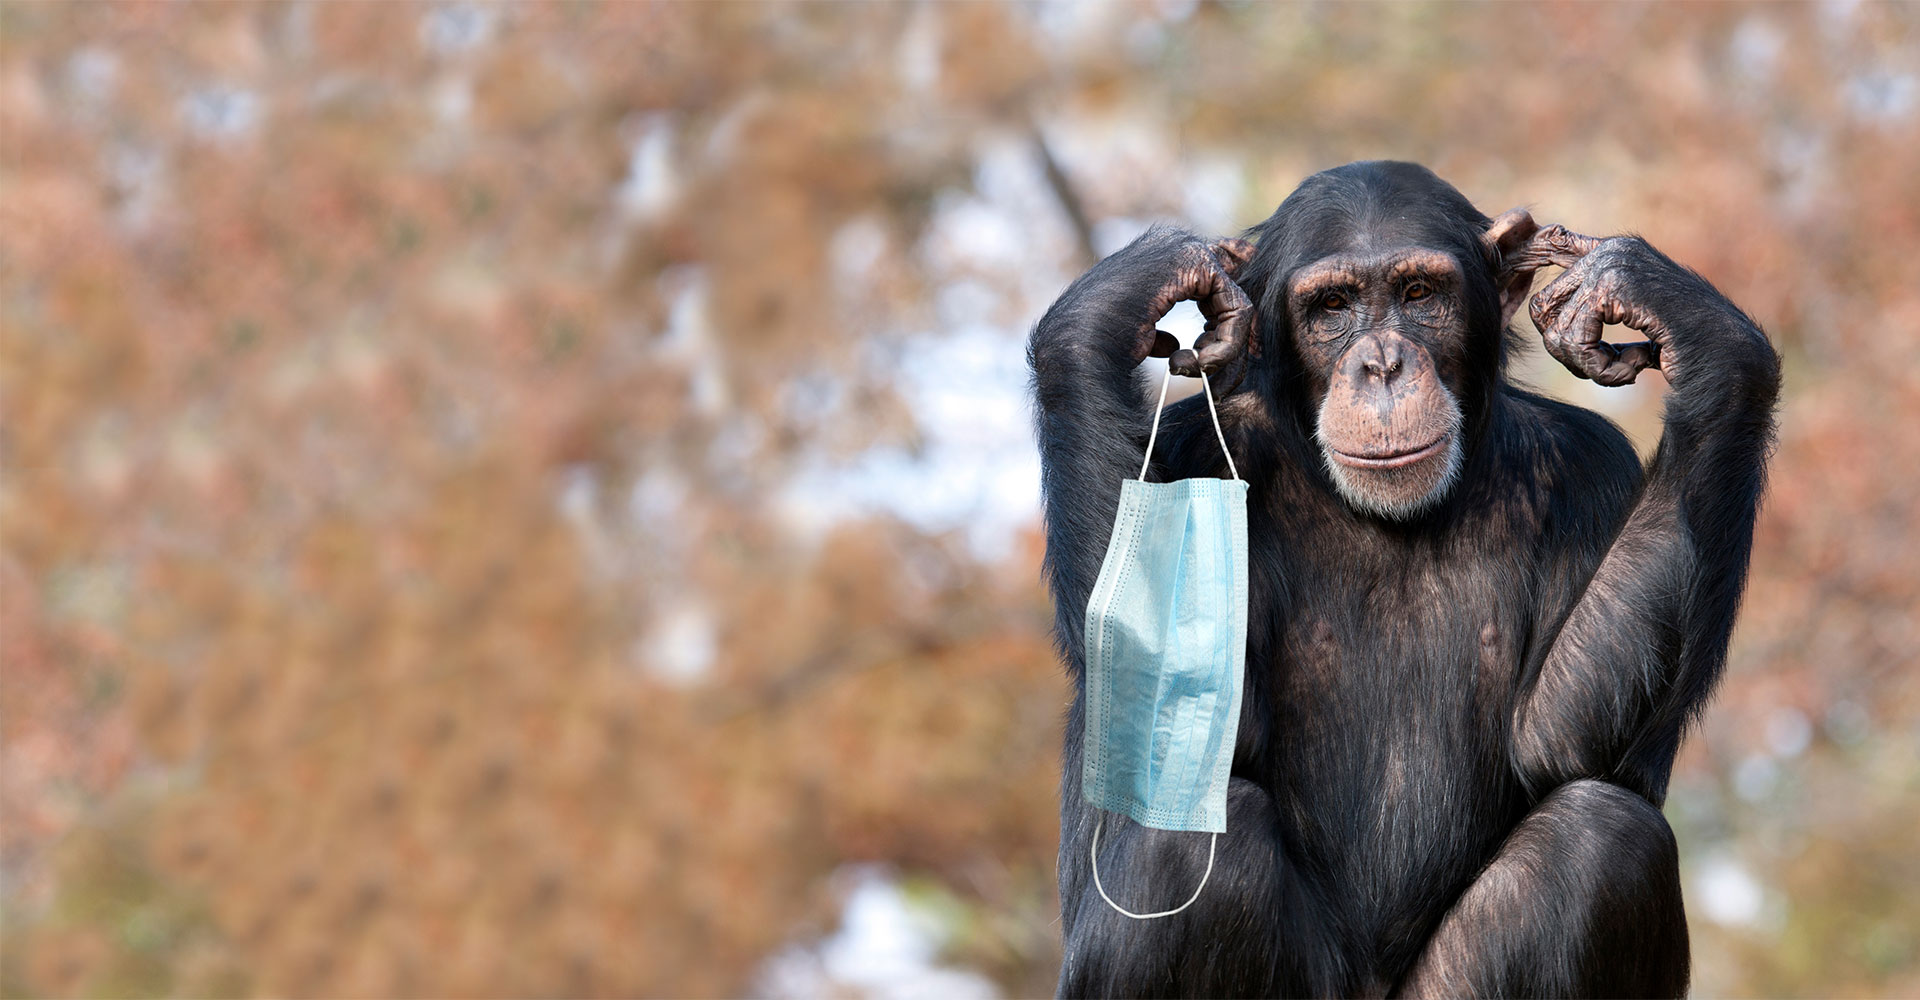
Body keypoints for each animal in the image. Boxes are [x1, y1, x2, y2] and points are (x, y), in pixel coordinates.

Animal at [1029, 160, 1774, 990]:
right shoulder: (1190, 455)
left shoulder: (1592, 470)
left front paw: (1669, 308)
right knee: (1187, 845)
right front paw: (1123, 295)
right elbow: (1176, 717)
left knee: (1604, 834)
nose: (1382, 363)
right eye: (1332, 306)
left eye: (1419, 294)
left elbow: (1564, 739)